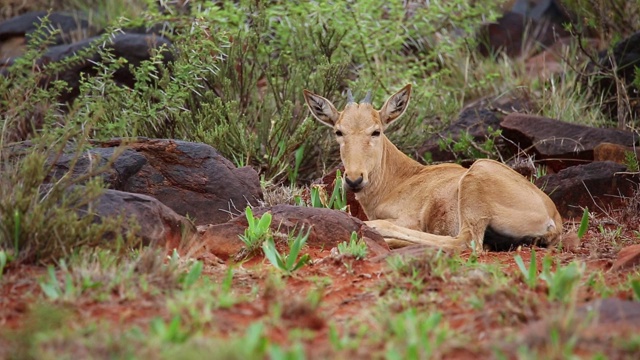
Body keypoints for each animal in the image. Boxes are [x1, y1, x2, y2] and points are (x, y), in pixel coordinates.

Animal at [302, 85, 564, 250]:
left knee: (464, 242)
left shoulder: (409, 219)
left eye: (376, 131)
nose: (355, 179)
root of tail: (554, 218)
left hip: (477, 178)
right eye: (339, 131)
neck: (403, 177)